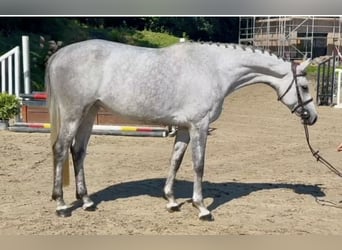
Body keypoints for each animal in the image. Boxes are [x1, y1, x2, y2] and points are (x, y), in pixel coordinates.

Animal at [46, 38, 318, 219]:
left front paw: (172, 201)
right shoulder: (200, 125)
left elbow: (175, 161)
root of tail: (59, 54)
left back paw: (87, 201)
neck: (214, 69)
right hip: (73, 113)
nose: (313, 117)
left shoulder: (185, 128)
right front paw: (202, 207)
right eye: (304, 87)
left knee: (78, 152)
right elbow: (199, 165)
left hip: (89, 113)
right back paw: (61, 205)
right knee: (60, 149)